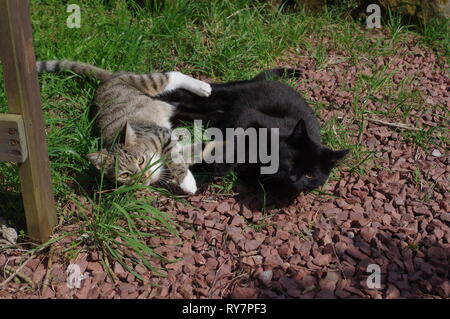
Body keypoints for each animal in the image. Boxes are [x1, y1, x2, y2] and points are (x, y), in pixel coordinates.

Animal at [37, 60, 213, 195]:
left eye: (141, 161)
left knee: (171, 75)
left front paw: (187, 182)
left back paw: (202, 87)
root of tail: (108, 78)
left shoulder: (162, 134)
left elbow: (174, 158)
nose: (143, 178)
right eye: (125, 175)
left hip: (145, 83)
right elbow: (186, 152)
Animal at [160, 70, 350, 198]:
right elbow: (238, 141)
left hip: (209, 114)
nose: (294, 178)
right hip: (220, 95)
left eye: (310, 175)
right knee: (188, 95)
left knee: (188, 111)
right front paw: (220, 167)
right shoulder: (249, 116)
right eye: (291, 160)